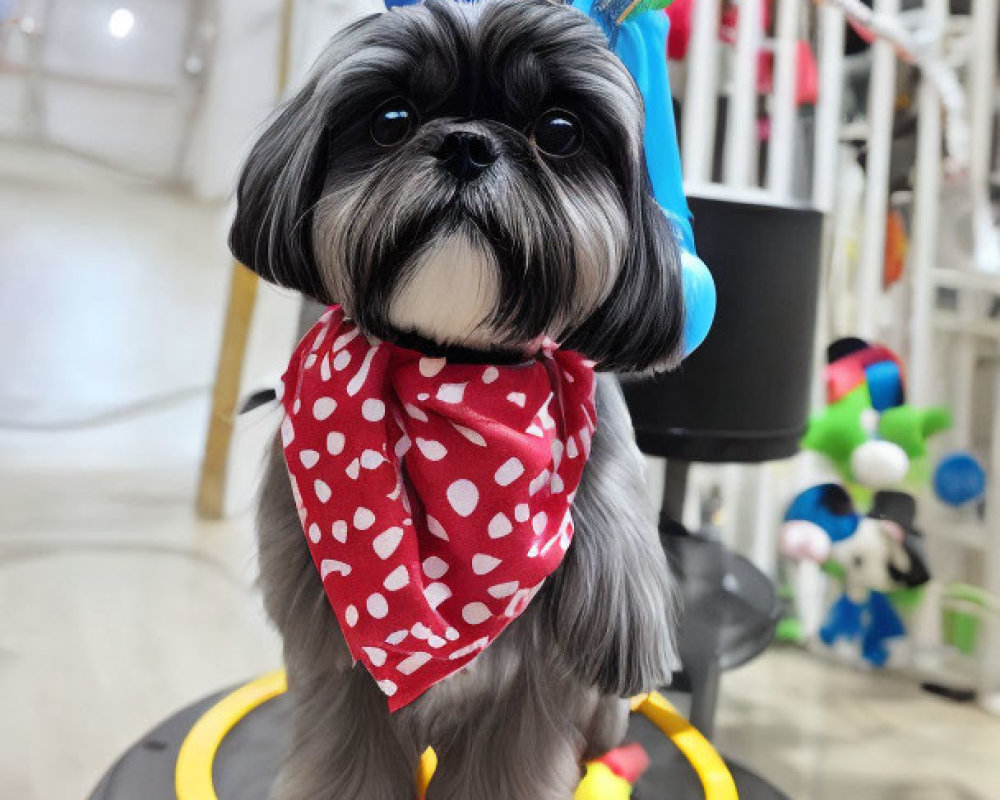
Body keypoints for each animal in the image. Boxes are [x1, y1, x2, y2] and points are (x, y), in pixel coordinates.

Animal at [230, 1, 688, 800]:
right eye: (391, 118)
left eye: (559, 130)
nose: (468, 146)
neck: (458, 372)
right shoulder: (341, 680)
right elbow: (348, 769)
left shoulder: (528, 704)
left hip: (603, 717)